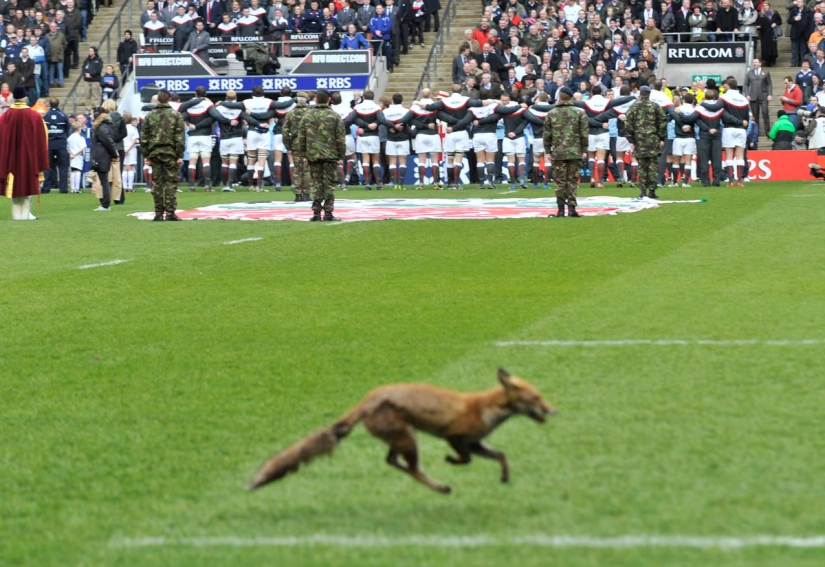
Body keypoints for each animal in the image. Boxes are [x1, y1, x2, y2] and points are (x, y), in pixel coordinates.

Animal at [247, 368, 555, 494]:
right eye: (537, 398)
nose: (554, 410)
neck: (484, 408)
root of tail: (369, 397)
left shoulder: (475, 443)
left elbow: (501, 456)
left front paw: (504, 478)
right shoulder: (455, 437)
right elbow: (464, 459)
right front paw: (451, 461)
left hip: (400, 438)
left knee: (391, 461)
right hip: (409, 439)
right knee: (411, 468)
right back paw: (441, 487)